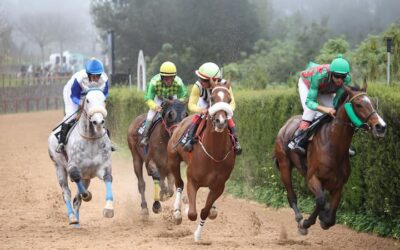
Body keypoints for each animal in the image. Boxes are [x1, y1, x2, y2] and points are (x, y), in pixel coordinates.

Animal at [49, 88, 114, 227]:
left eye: (104, 100)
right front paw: (88, 195)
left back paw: (77, 222)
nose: (98, 121)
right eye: (88, 100)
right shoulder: (72, 166)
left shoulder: (103, 167)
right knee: (67, 192)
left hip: (86, 177)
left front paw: (109, 208)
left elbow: (108, 178)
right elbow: (75, 178)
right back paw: (72, 217)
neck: (91, 139)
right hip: (59, 167)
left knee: (76, 199)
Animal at [167, 79, 236, 241]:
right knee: (179, 183)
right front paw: (186, 210)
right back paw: (178, 212)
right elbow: (192, 213)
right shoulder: (192, 180)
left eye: (229, 100)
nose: (220, 121)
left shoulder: (219, 186)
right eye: (213, 99)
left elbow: (204, 211)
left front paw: (198, 235)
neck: (214, 154)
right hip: (173, 160)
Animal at [274, 83, 386, 235]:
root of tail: (286, 124)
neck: (333, 146)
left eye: (373, 103)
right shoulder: (312, 178)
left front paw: (324, 218)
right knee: (291, 195)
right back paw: (299, 219)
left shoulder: (338, 185)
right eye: (358, 105)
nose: (381, 127)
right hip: (284, 165)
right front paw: (306, 223)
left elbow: (330, 217)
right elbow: (320, 200)